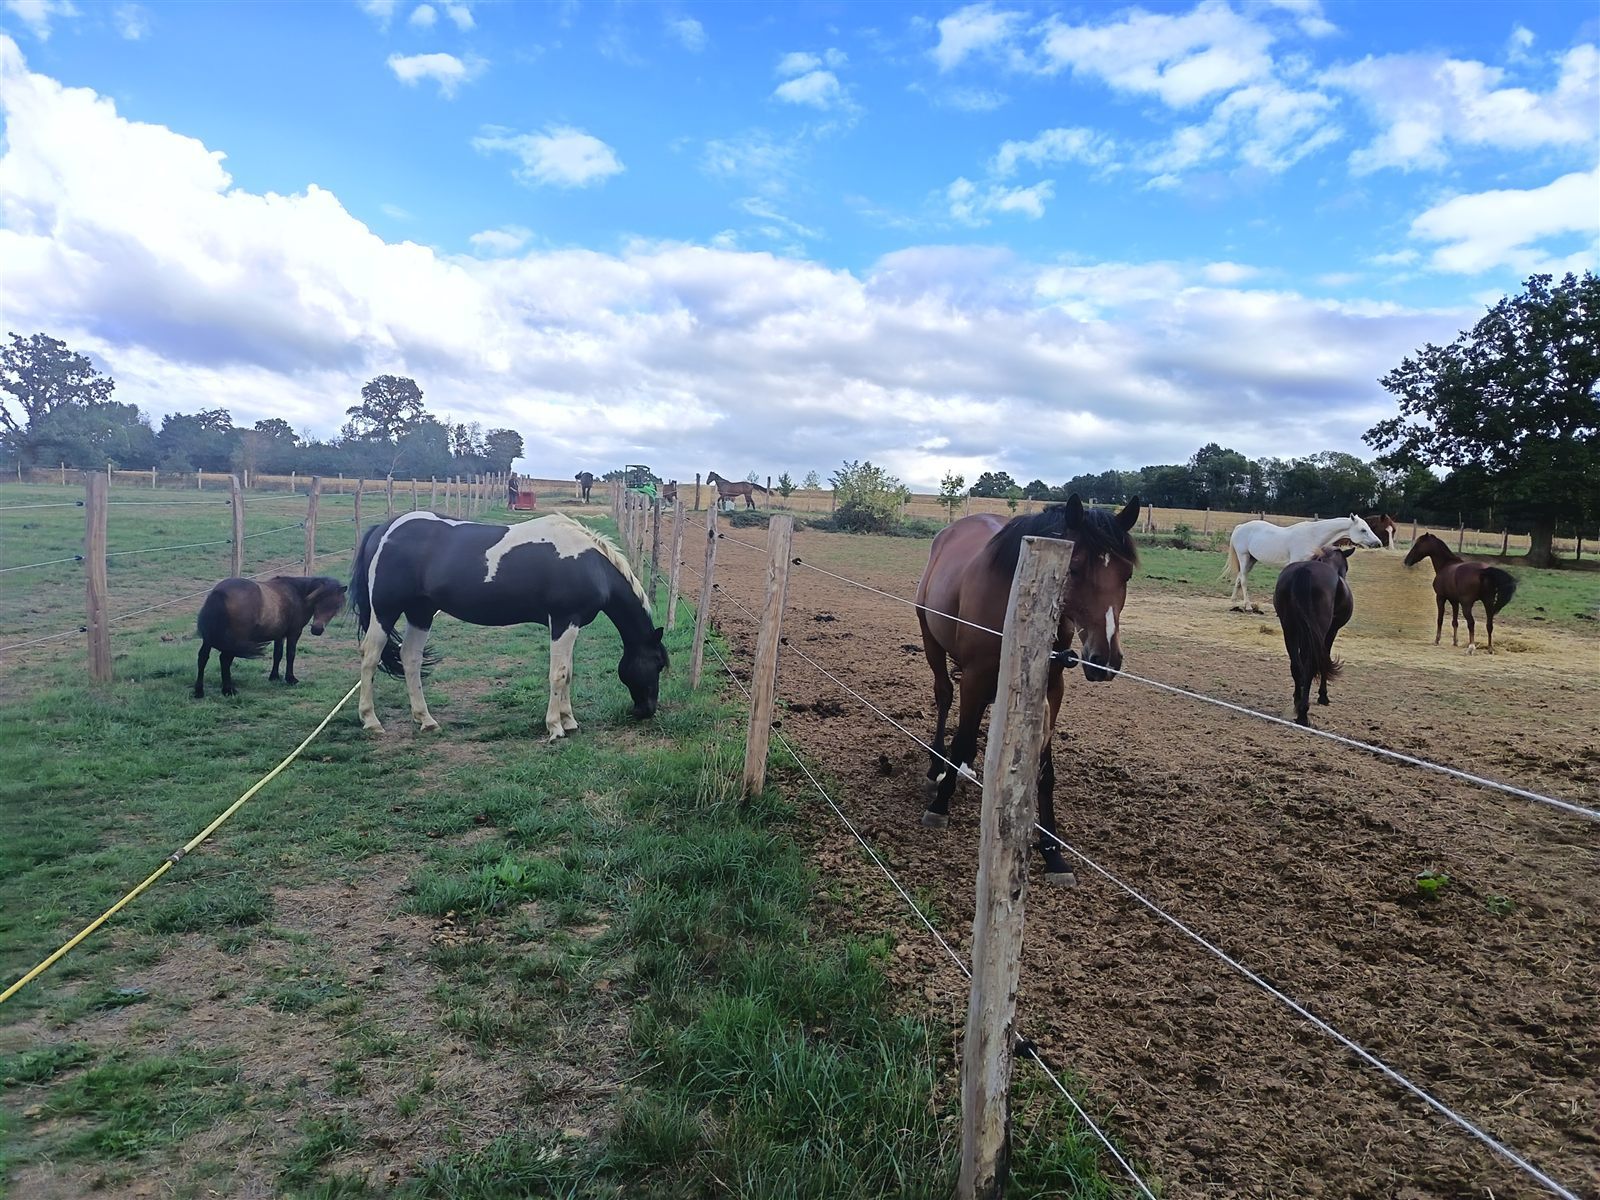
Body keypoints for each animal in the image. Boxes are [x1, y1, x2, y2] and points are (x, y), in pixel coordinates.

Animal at [193, 576, 347, 698]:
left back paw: (199, 691)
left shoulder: (279, 634)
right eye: (318, 600)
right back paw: (228, 690)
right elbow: (290, 654)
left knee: (203, 658)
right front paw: (290, 679)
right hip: (232, 642)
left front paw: (274, 677)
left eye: (335, 606)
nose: (317, 630)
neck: (298, 594)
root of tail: (219, 593)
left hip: (209, 639)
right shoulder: (294, 633)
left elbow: (277, 654)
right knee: (224, 660)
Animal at [350, 511, 667, 737]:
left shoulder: (571, 625)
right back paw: (371, 721)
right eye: (658, 663)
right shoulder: (563, 621)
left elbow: (568, 672)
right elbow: (558, 674)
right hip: (385, 610)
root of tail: (384, 529)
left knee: (410, 658)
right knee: (370, 657)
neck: (589, 563)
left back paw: (426, 720)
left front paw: (569, 720)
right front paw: (555, 727)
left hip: (421, 612)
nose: (647, 711)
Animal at [916, 495, 1141, 883]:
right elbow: (962, 735)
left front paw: (1053, 852)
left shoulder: (1052, 686)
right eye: (1074, 569)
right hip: (933, 644)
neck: (1017, 597)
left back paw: (966, 768)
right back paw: (937, 766)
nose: (1105, 660)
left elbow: (1044, 770)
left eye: (1125, 574)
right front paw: (940, 805)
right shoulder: (974, 675)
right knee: (944, 696)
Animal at [1224, 514, 1382, 611]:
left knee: (1239, 578)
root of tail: (1240, 527)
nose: (1378, 543)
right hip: (1244, 557)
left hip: (1251, 559)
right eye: (1363, 530)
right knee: (1243, 580)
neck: (1312, 535)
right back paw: (1248, 606)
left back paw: (1234, 602)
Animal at [1272, 546, 1354, 726]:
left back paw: (1298, 702)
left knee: (1296, 665)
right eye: (1346, 567)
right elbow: (1324, 659)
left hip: (1290, 628)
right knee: (1310, 665)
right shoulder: (1330, 632)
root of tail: (1304, 571)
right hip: (1317, 630)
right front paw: (1323, 696)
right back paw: (1303, 713)